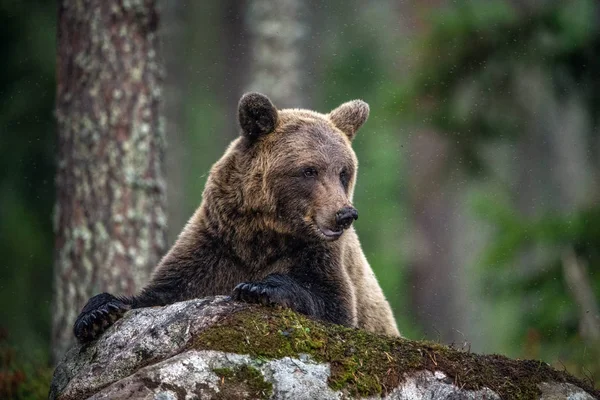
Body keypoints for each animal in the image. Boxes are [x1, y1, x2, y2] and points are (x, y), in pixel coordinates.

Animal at [75, 93, 400, 340]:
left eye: (343, 171)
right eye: (309, 170)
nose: (344, 214)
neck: (260, 235)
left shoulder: (320, 253)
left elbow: (333, 303)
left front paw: (259, 287)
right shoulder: (215, 244)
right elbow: (160, 293)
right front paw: (98, 312)